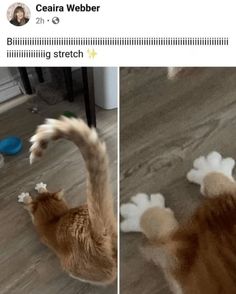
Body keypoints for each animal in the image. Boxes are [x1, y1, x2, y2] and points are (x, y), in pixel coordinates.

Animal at [18, 117, 116, 284]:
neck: (54, 218)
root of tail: (100, 236)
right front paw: (41, 188)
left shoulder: (36, 221)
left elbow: (29, 205)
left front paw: (25, 196)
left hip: (73, 266)